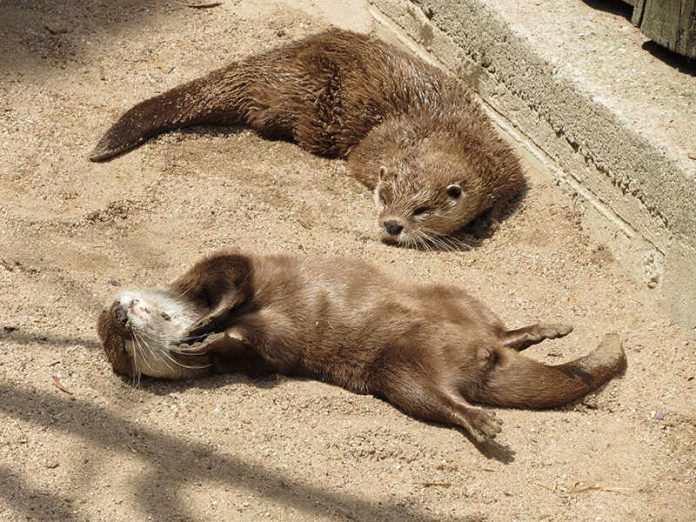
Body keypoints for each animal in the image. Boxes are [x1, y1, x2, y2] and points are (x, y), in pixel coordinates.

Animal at [89, 29, 524, 246]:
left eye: (421, 209)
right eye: (384, 198)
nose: (391, 225)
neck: (449, 132)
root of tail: (270, 61)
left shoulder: (502, 159)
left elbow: (511, 190)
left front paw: (489, 222)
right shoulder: (374, 148)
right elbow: (359, 162)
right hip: (307, 97)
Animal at [96, 250, 624, 440]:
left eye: (115, 322)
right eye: (123, 346)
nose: (121, 315)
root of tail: (479, 354)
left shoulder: (225, 268)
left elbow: (232, 281)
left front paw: (203, 326)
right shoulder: (267, 355)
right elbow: (262, 352)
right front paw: (203, 343)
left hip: (453, 293)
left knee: (496, 330)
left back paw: (543, 330)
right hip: (401, 372)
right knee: (439, 397)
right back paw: (482, 422)